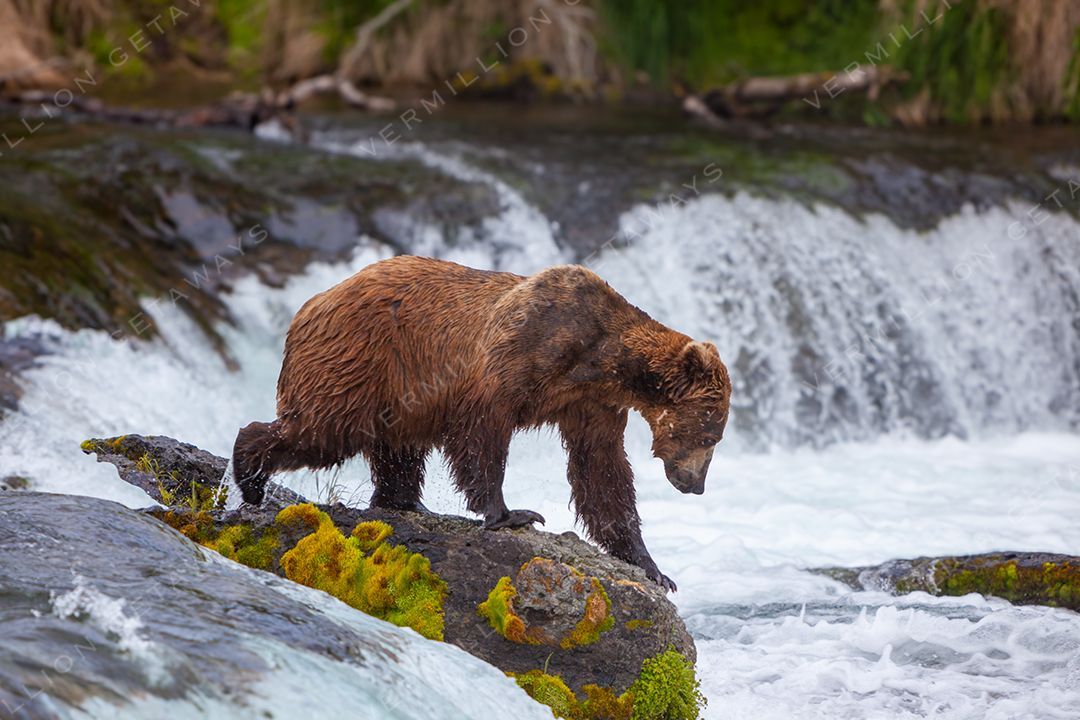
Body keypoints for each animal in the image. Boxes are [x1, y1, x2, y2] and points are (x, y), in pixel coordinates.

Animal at [232, 255, 731, 591]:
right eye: (711, 432)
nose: (696, 485)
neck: (602, 360)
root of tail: (310, 303)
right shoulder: (520, 350)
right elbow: (482, 431)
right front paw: (511, 514)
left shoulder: (591, 405)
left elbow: (602, 471)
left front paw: (651, 566)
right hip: (358, 359)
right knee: (321, 430)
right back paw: (250, 474)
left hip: (400, 391)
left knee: (397, 447)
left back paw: (408, 503)